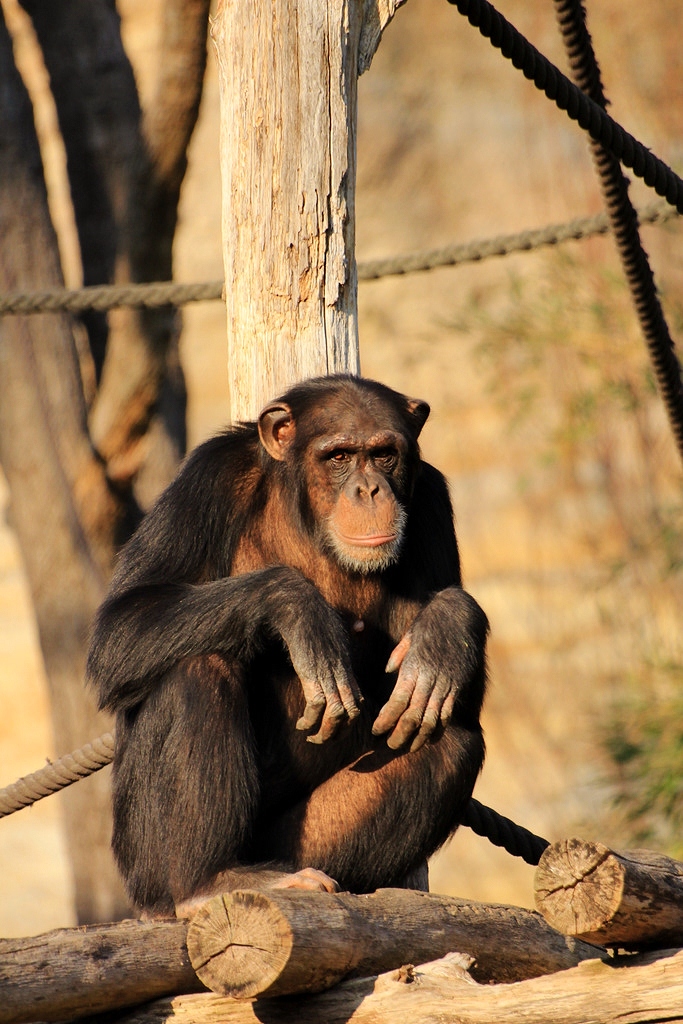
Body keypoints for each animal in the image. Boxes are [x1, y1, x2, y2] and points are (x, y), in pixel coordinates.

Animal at [88, 374, 489, 913]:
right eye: (338, 456)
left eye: (384, 454)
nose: (369, 489)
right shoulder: (206, 478)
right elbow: (120, 625)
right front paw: (296, 606)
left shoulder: (429, 503)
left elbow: (459, 698)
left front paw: (445, 630)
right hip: (141, 867)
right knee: (197, 666)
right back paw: (209, 881)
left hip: (293, 844)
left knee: (450, 743)